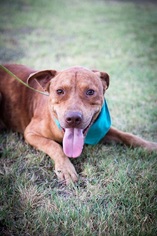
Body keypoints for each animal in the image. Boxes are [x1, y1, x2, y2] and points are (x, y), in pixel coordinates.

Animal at [0, 65, 157, 184]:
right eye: (59, 91)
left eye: (90, 92)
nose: (73, 118)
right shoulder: (31, 133)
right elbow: (54, 145)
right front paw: (65, 168)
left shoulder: (102, 130)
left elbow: (127, 135)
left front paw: (149, 145)